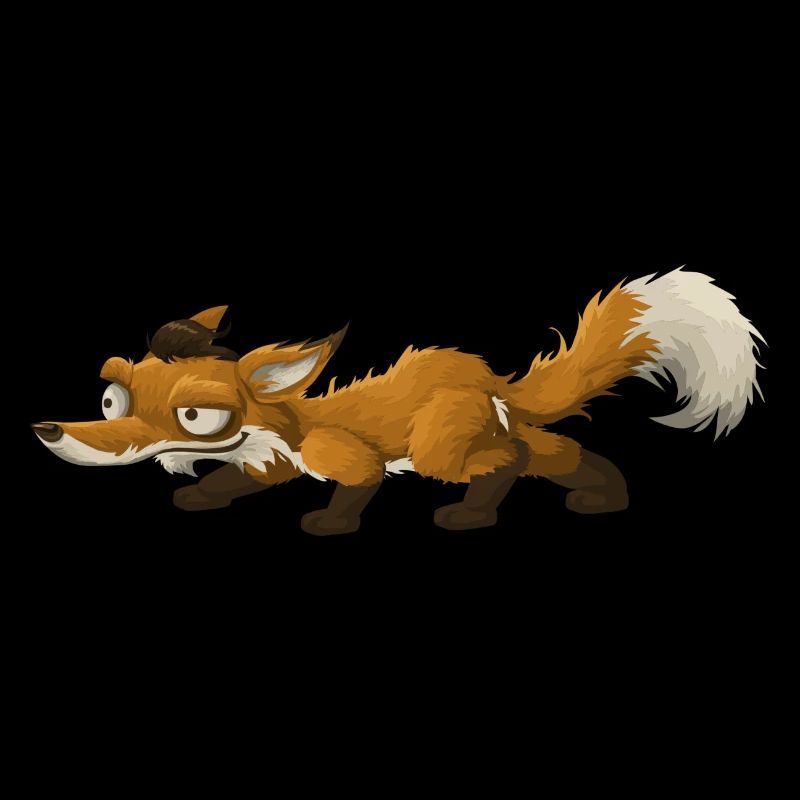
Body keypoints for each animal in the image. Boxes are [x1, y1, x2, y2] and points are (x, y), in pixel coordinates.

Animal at [32, 268, 764, 534]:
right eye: (111, 400)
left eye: (193, 416)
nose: (49, 431)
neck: (285, 425)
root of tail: (489, 378)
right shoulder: (268, 461)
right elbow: (233, 483)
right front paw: (201, 496)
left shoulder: (342, 456)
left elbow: (357, 485)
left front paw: (330, 524)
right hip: (493, 430)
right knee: (552, 449)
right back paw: (603, 497)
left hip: (441, 446)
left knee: (512, 457)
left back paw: (471, 515)